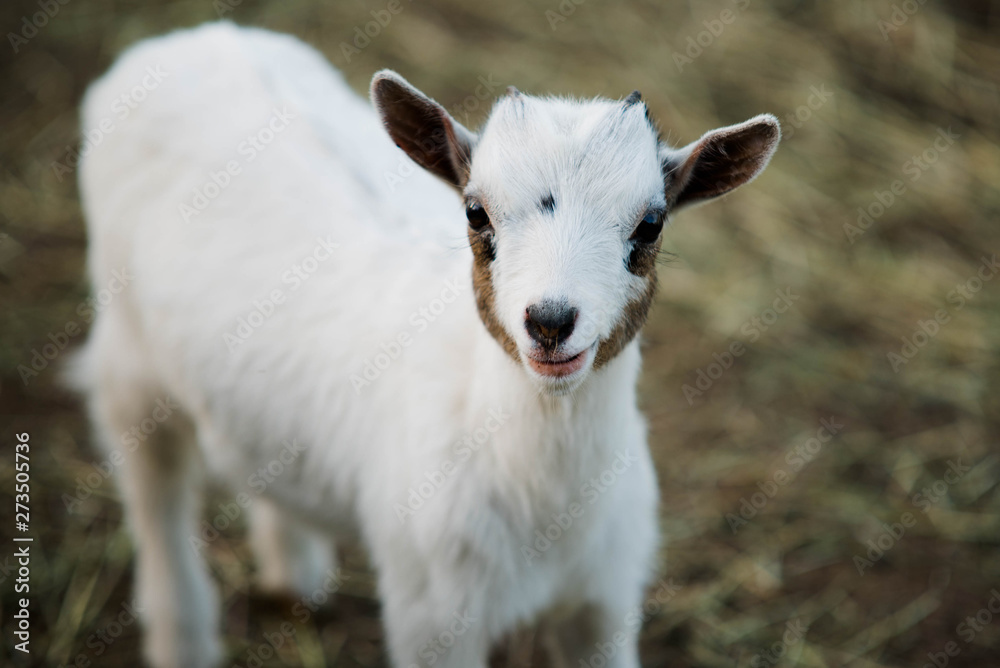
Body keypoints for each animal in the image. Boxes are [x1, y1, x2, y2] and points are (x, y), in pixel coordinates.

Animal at [69, 21, 779, 668]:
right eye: (475, 212)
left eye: (651, 224)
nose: (550, 322)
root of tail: (192, 35)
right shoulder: (433, 612)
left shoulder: (604, 605)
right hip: (126, 350)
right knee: (153, 490)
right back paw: (181, 636)